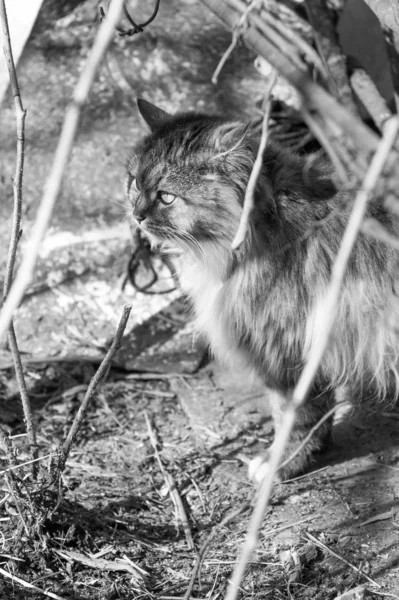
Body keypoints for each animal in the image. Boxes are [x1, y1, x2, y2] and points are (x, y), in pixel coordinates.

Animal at [126, 98, 399, 482]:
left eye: (166, 198)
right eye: (135, 182)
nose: (136, 215)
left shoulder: (284, 353)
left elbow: (295, 420)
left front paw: (280, 464)